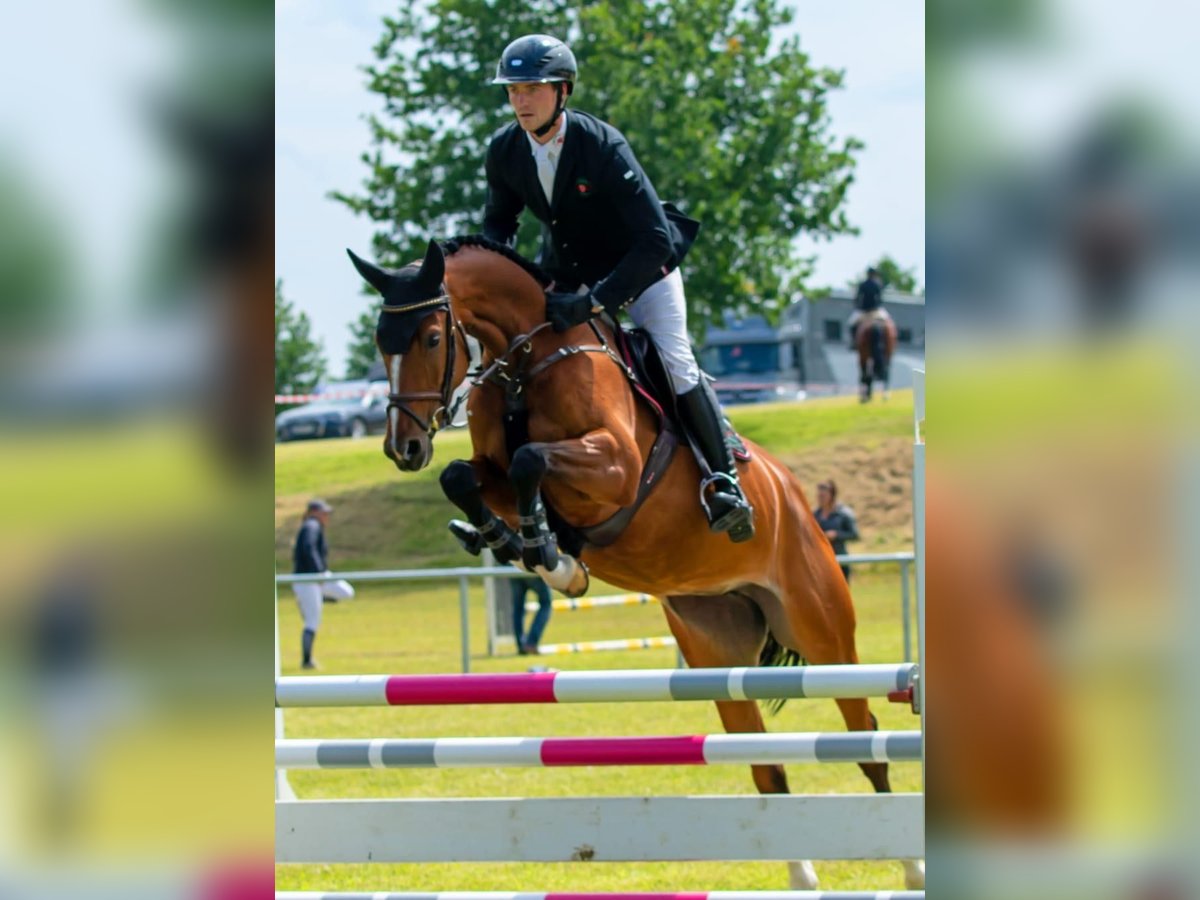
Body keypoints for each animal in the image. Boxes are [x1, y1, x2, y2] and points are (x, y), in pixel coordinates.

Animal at [348, 236, 926, 892]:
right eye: (380, 342)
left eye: (431, 338)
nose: (404, 448)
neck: (527, 360)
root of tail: (795, 499)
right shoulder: (493, 471)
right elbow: (464, 476)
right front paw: (517, 543)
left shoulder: (615, 467)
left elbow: (529, 459)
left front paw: (549, 553)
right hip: (715, 651)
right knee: (766, 768)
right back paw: (804, 879)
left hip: (823, 632)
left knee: (866, 740)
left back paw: (910, 869)